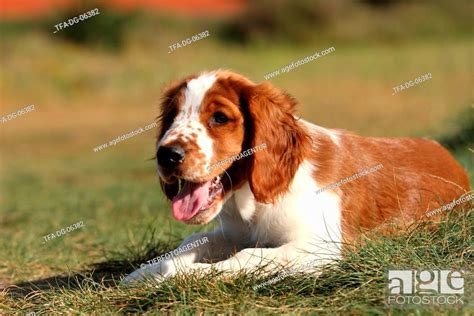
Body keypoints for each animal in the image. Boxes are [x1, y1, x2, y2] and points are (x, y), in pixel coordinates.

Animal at [124, 69, 472, 284]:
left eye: (219, 118)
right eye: (171, 117)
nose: (166, 155)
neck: (254, 201)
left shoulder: (319, 247)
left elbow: (246, 257)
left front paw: (186, 275)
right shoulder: (233, 233)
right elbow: (195, 240)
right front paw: (147, 272)